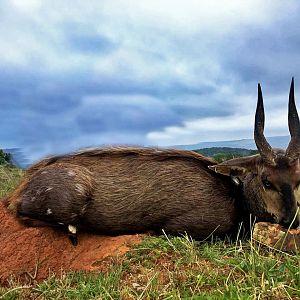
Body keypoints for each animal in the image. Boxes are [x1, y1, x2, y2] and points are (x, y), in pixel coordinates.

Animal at [4, 78, 300, 243]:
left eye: (297, 180)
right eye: (266, 181)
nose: (292, 220)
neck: (235, 198)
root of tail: (22, 187)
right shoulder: (181, 229)